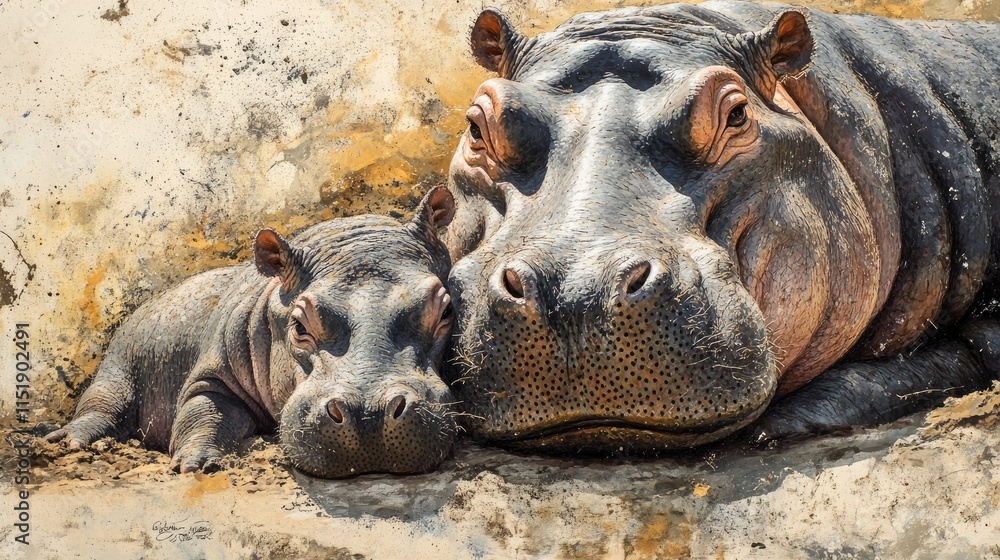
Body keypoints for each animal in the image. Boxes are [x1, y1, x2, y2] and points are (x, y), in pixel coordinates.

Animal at [47, 187, 459, 477]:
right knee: (101, 404)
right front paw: (198, 464)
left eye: (446, 309)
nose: (368, 413)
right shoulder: (213, 373)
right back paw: (67, 443)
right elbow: (203, 410)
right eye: (298, 324)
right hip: (116, 365)